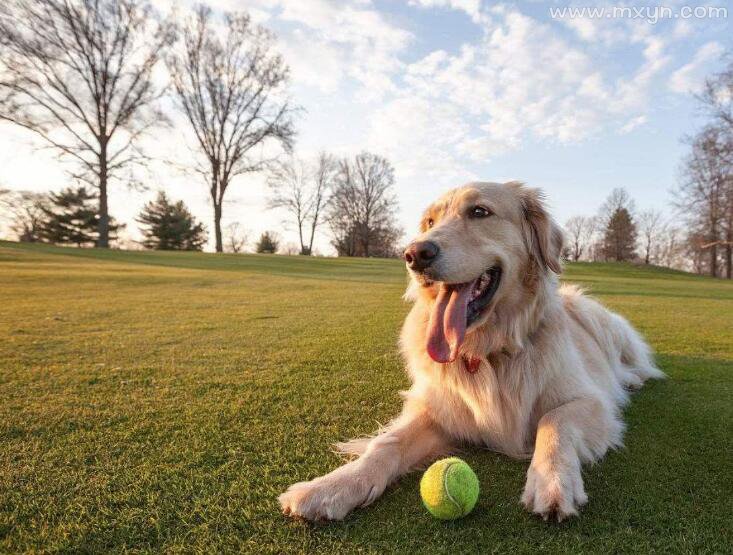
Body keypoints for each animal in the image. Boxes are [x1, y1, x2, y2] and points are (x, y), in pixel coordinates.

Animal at [278, 181, 660, 520]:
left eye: (479, 212)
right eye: (430, 222)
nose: (414, 254)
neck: (489, 351)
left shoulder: (590, 401)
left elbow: (553, 421)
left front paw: (552, 483)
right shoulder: (438, 409)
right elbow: (385, 444)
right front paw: (332, 487)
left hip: (598, 319)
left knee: (635, 363)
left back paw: (632, 378)